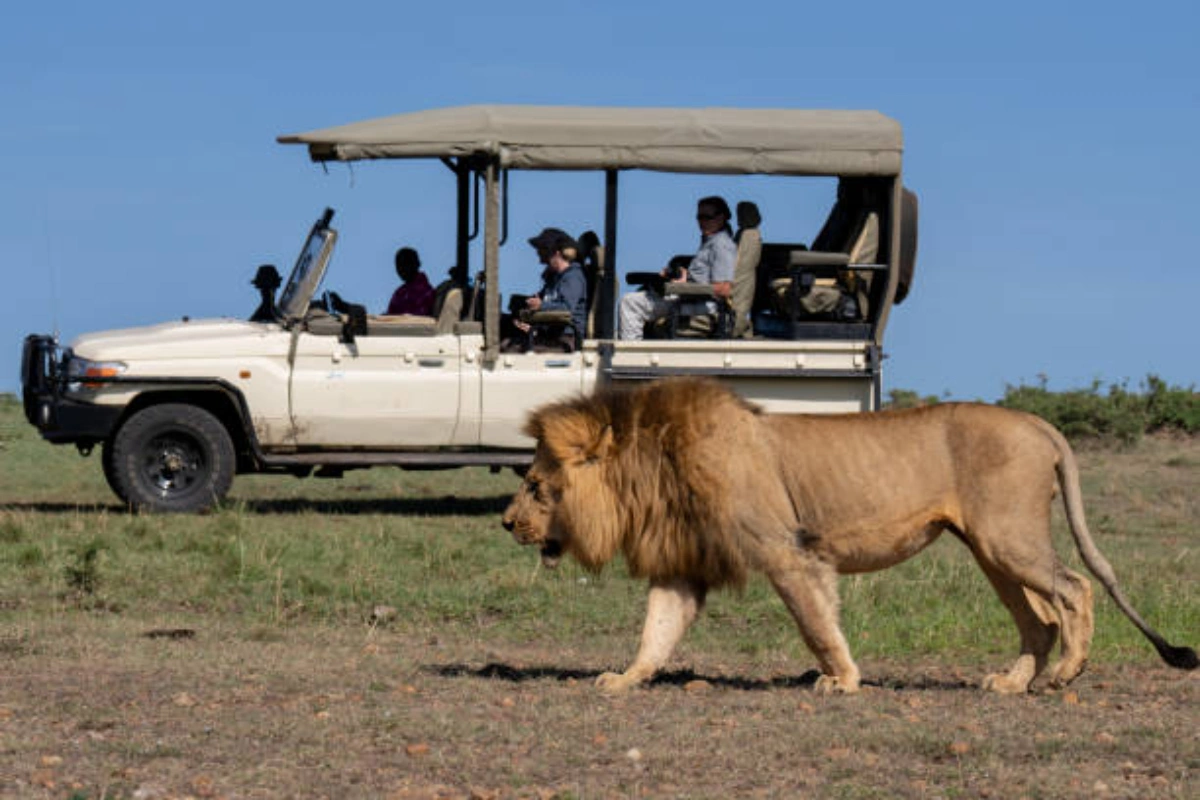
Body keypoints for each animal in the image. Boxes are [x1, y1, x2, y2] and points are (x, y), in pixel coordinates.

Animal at [501, 377, 1197, 694]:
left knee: (1074, 589)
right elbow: (657, 630)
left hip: (1008, 537)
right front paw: (623, 680)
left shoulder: (787, 549)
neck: (650, 472)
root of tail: (1039, 422)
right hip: (989, 550)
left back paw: (1066, 675)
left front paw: (841, 680)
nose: (506, 523)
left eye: (534, 484)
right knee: (1040, 619)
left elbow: (816, 622)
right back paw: (1010, 683)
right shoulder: (685, 564)